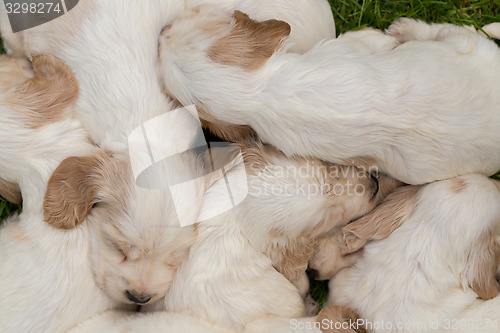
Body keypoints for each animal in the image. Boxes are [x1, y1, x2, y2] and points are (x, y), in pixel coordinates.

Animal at [158, 5, 500, 184]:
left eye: (199, 19)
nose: (161, 32)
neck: (265, 92)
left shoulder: (340, 50)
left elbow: (365, 40)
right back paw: (405, 29)